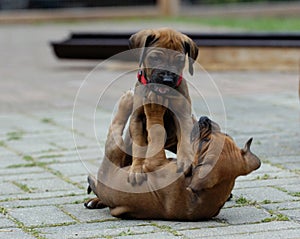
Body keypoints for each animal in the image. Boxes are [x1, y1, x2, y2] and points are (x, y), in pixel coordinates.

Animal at [85, 91, 260, 220]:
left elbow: (156, 131)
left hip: (113, 155)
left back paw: (129, 100)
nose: (205, 119)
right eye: (227, 135)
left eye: (205, 141)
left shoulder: (154, 161)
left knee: (117, 132)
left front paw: (154, 107)